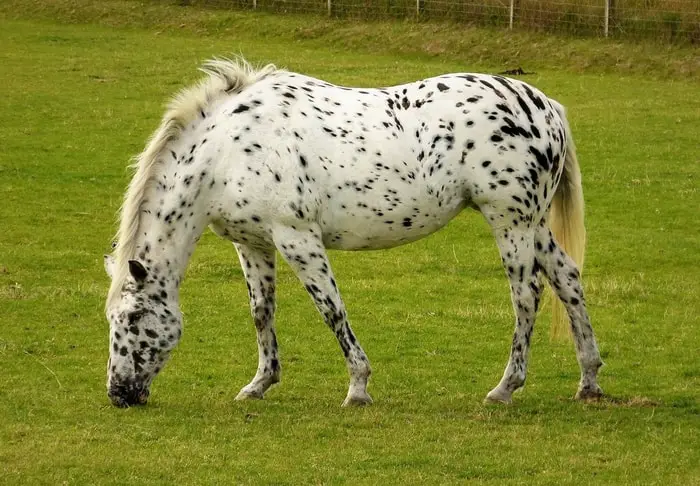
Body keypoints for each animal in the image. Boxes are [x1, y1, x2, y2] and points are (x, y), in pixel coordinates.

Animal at [102, 57, 600, 408]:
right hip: (534, 225)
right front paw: (260, 383)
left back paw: (505, 387)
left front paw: (358, 387)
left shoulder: (297, 238)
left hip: (510, 222)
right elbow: (262, 312)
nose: (118, 393)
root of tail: (548, 109)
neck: (228, 149)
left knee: (527, 295)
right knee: (568, 280)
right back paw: (589, 380)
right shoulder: (253, 243)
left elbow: (331, 309)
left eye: (132, 319)